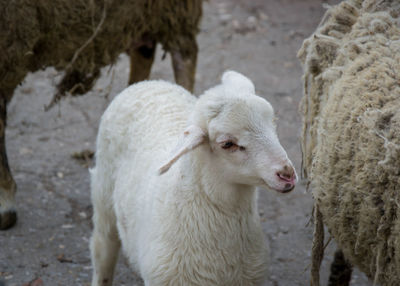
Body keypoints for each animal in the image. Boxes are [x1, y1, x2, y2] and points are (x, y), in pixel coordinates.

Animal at [90, 70, 296, 286]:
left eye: (273, 121)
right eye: (227, 144)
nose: (287, 174)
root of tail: (148, 83)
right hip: (104, 192)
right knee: (103, 247)